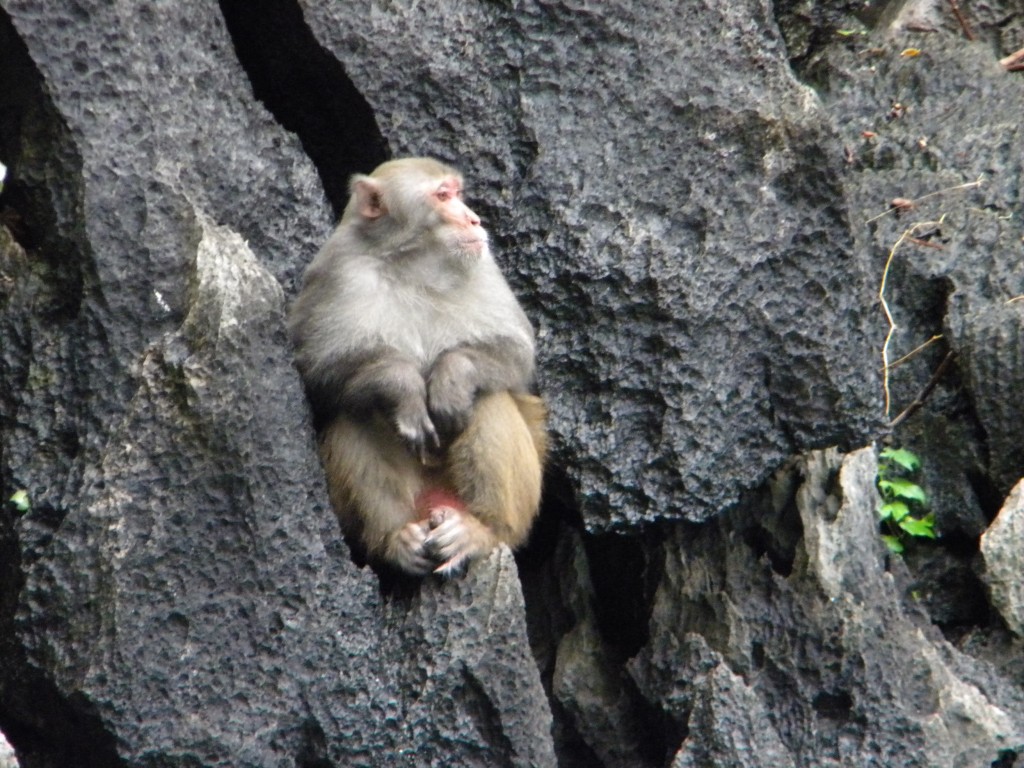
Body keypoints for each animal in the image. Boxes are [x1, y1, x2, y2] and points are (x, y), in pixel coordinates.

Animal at [286, 157, 544, 577]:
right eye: (442, 196)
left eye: (457, 193)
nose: (473, 219)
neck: (414, 266)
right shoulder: (335, 270)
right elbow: (316, 373)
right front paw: (401, 385)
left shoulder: (482, 263)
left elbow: (517, 353)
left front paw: (452, 377)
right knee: (357, 410)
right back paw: (395, 541)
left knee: (487, 397)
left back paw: (480, 530)